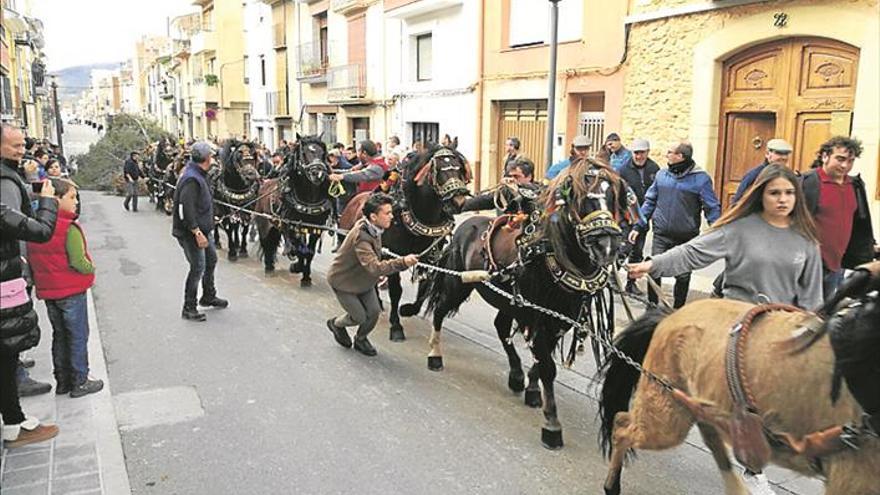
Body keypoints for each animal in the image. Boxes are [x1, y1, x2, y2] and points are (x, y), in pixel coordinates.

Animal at [258, 134, 334, 288]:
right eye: (304, 153)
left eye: (322, 153)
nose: (318, 173)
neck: (309, 198)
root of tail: (264, 185)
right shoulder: (292, 225)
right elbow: (298, 248)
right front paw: (296, 266)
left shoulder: (315, 228)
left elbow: (309, 251)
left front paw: (306, 277)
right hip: (263, 222)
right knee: (266, 242)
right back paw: (269, 267)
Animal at [338, 145, 474, 342]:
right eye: (439, 171)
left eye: (459, 169)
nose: (459, 202)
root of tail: (354, 200)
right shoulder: (391, 256)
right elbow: (396, 292)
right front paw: (396, 326)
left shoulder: (429, 258)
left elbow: (425, 286)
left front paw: (409, 309)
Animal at [418, 158, 632, 450]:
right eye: (579, 198)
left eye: (612, 197)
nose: (607, 246)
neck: (554, 255)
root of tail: (466, 224)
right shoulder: (537, 316)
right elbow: (548, 367)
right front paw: (552, 424)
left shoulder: (558, 319)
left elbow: (542, 360)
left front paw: (531, 387)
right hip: (458, 285)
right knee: (440, 311)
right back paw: (435, 355)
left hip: (508, 302)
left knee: (500, 326)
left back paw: (516, 375)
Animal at [600, 262, 880, 494]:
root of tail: (671, 316)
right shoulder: (853, 476)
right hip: (666, 413)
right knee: (622, 426)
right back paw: (612, 485)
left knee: (712, 439)